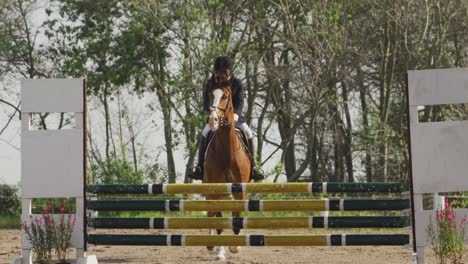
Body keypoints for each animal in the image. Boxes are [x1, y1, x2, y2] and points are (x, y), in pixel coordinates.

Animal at [203, 84, 250, 260]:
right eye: (211, 95)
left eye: (225, 97)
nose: (213, 120)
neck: (227, 151)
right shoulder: (216, 188)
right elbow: (218, 222)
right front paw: (220, 252)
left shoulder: (240, 189)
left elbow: (237, 218)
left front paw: (235, 247)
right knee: (211, 213)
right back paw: (212, 246)